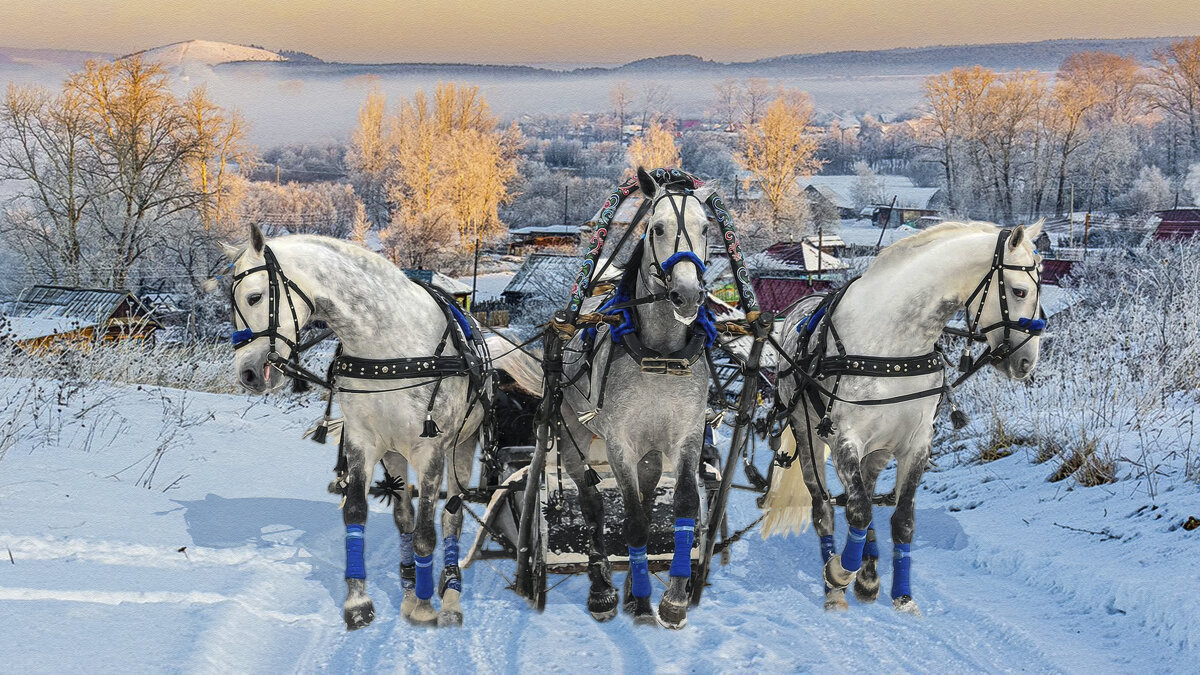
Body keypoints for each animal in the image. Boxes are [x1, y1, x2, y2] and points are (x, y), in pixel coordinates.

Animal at [224, 223, 540, 629]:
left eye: (254, 296)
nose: (247, 372)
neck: (387, 345)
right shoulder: (364, 442)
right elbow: (358, 513)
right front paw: (359, 602)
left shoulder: (430, 450)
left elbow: (426, 533)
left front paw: (425, 607)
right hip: (393, 453)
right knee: (404, 516)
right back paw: (408, 587)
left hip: (461, 448)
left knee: (451, 517)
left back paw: (449, 597)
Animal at [768, 222, 1041, 614]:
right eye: (1019, 291)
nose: (1026, 361)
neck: (895, 342)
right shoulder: (844, 440)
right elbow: (859, 511)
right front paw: (838, 573)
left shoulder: (916, 445)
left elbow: (902, 520)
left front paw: (902, 596)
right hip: (807, 436)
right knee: (826, 507)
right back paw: (837, 588)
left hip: (878, 451)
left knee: (863, 494)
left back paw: (868, 574)